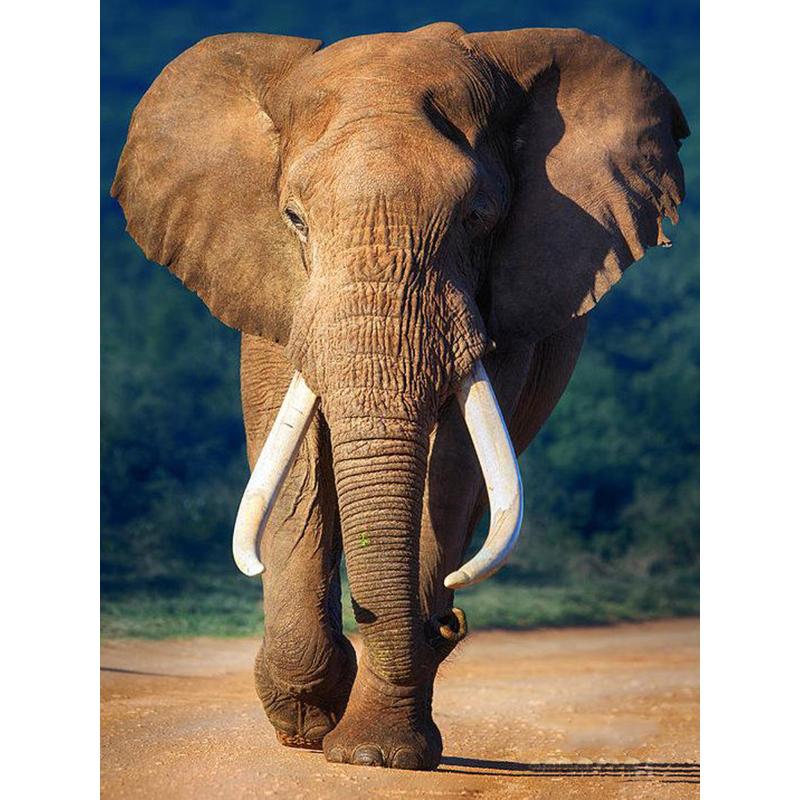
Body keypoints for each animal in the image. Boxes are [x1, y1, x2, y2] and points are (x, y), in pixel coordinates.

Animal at [111, 22, 688, 771]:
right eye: (294, 218)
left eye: (478, 217)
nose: (449, 624)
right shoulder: (269, 282)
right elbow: (293, 458)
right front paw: (310, 720)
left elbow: (454, 469)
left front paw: (373, 754)